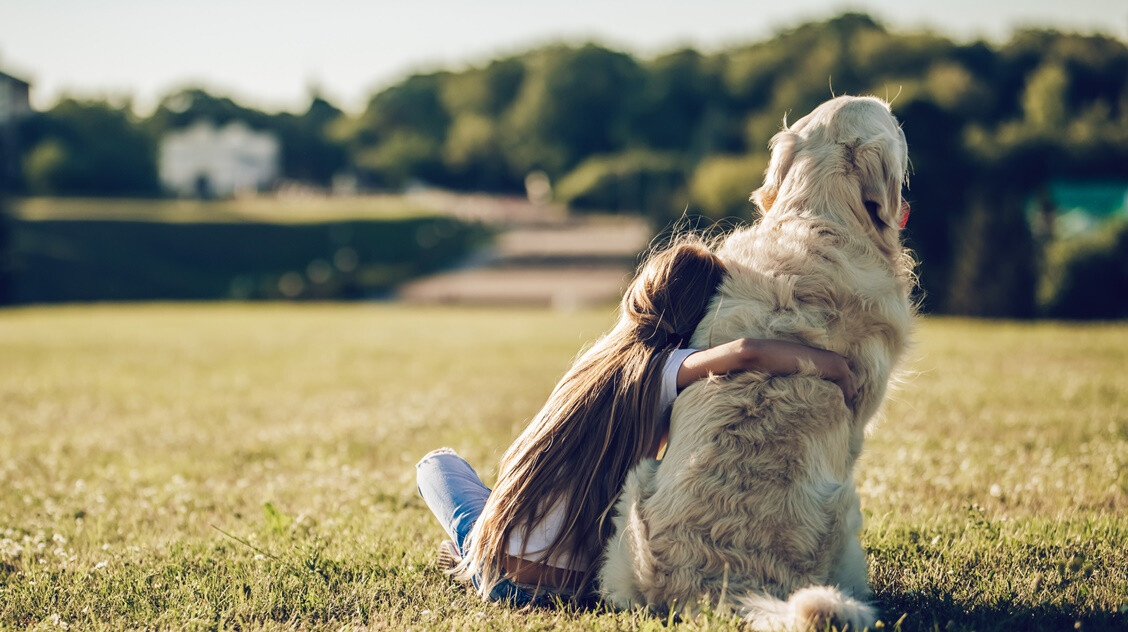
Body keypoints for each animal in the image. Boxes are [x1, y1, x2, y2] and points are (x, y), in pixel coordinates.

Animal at [600, 96, 915, 627]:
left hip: (634, 490)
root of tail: (719, 584)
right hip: (846, 510)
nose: (901, 114)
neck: (819, 217)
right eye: (894, 124)